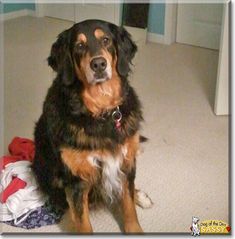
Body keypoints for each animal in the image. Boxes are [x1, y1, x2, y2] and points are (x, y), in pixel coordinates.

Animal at [32, 19, 151, 233]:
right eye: (79, 46)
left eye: (105, 40)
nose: (98, 64)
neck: (102, 112)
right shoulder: (76, 181)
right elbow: (83, 222)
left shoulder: (126, 162)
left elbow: (128, 206)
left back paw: (141, 196)